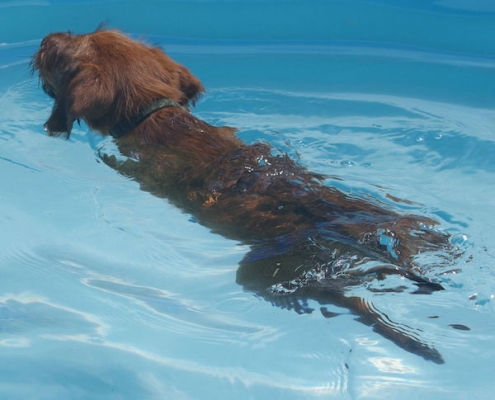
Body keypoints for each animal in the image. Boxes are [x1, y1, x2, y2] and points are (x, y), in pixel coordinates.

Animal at [33, 29, 454, 364]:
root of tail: (380, 251)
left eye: (59, 58)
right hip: (421, 230)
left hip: (262, 272)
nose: (46, 38)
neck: (156, 115)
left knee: (345, 302)